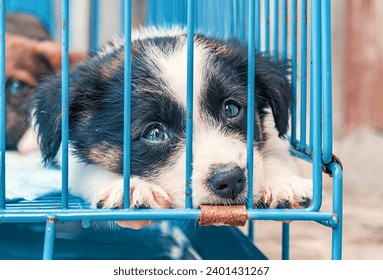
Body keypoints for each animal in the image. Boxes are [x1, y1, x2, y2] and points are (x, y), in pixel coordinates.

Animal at [30, 29, 312, 228]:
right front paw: (130, 187)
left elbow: (274, 150)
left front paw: (284, 184)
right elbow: (85, 170)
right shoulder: (67, 157)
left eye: (231, 109)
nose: (230, 179)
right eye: (154, 133)